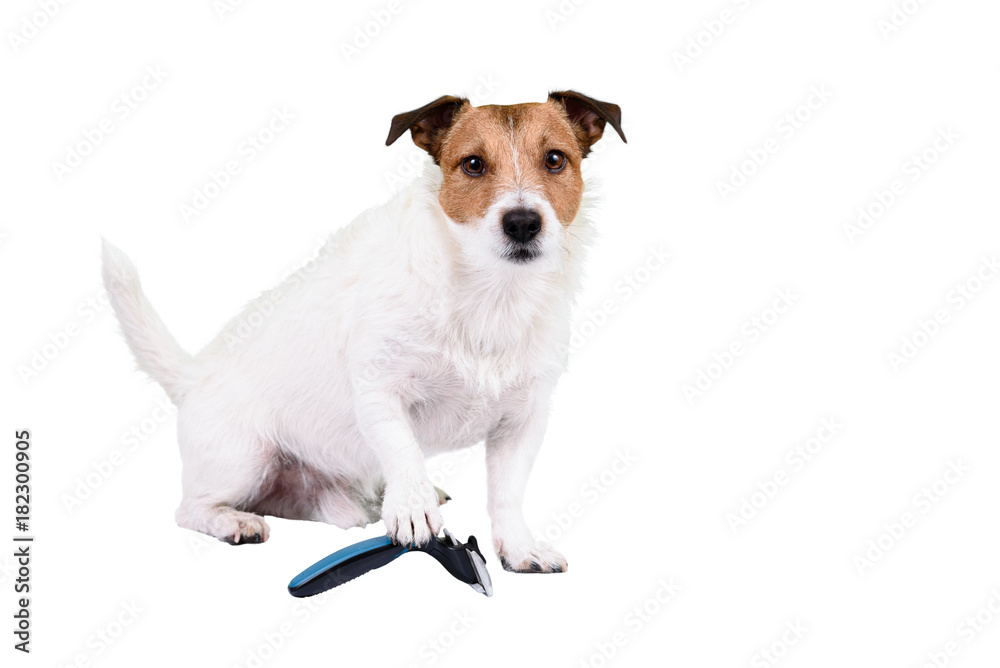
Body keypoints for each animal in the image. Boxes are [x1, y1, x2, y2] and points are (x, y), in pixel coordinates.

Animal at [107, 90, 624, 576]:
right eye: (473, 164)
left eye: (555, 159)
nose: (522, 223)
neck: (490, 294)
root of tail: (193, 377)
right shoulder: (380, 389)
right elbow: (402, 448)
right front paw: (413, 508)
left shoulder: (523, 420)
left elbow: (507, 493)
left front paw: (518, 548)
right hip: (242, 460)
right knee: (189, 509)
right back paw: (233, 521)